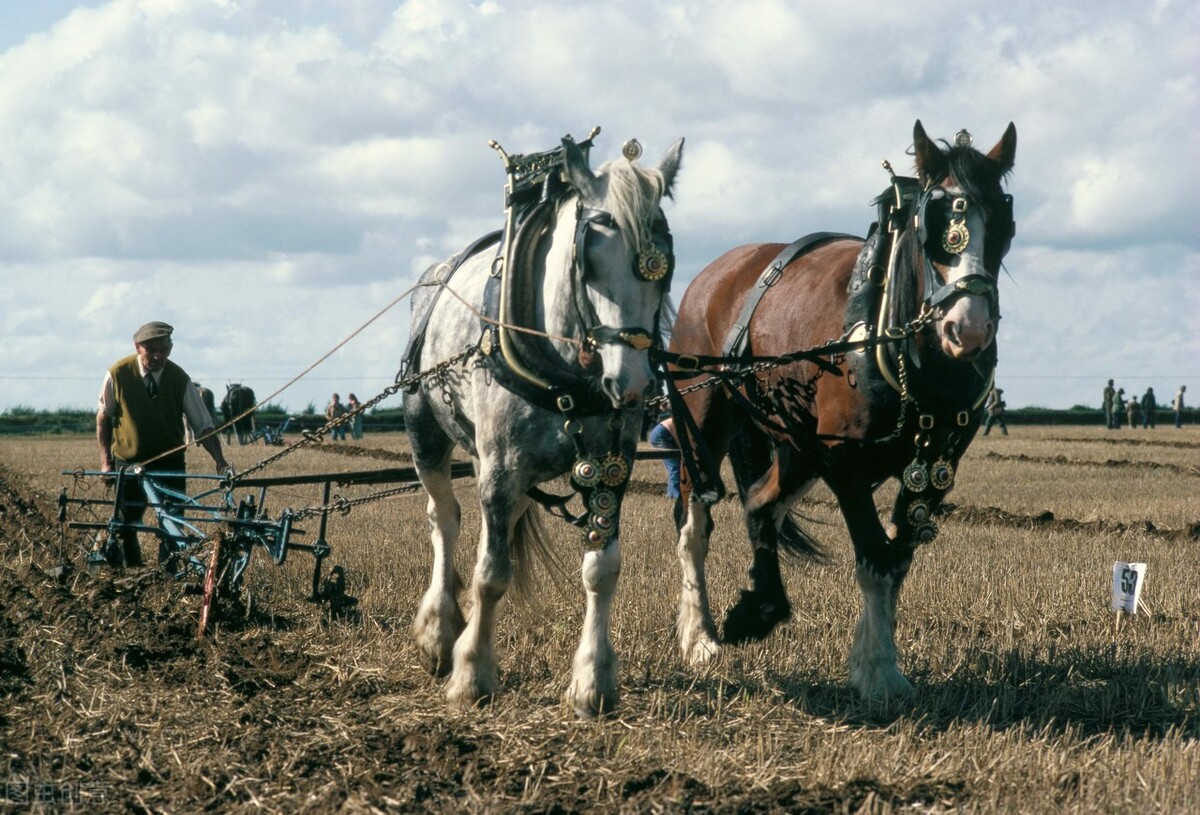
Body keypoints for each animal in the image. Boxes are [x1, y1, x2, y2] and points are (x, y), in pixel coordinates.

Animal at [402, 132, 684, 716]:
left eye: (665, 264)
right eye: (589, 260)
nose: (632, 385)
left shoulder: (611, 466)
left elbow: (602, 569)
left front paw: (593, 682)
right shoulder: (500, 469)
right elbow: (491, 575)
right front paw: (472, 674)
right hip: (427, 434)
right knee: (444, 518)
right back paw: (440, 631)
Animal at [667, 121, 1016, 701]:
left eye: (1005, 222)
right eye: (932, 221)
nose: (967, 329)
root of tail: (719, 271)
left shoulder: (933, 469)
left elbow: (897, 561)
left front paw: (872, 658)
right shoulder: (843, 460)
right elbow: (874, 558)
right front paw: (878, 672)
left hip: (796, 445)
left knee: (759, 502)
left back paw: (759, 609)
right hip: (705, 418)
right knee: (695, 522)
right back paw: (700, 638)